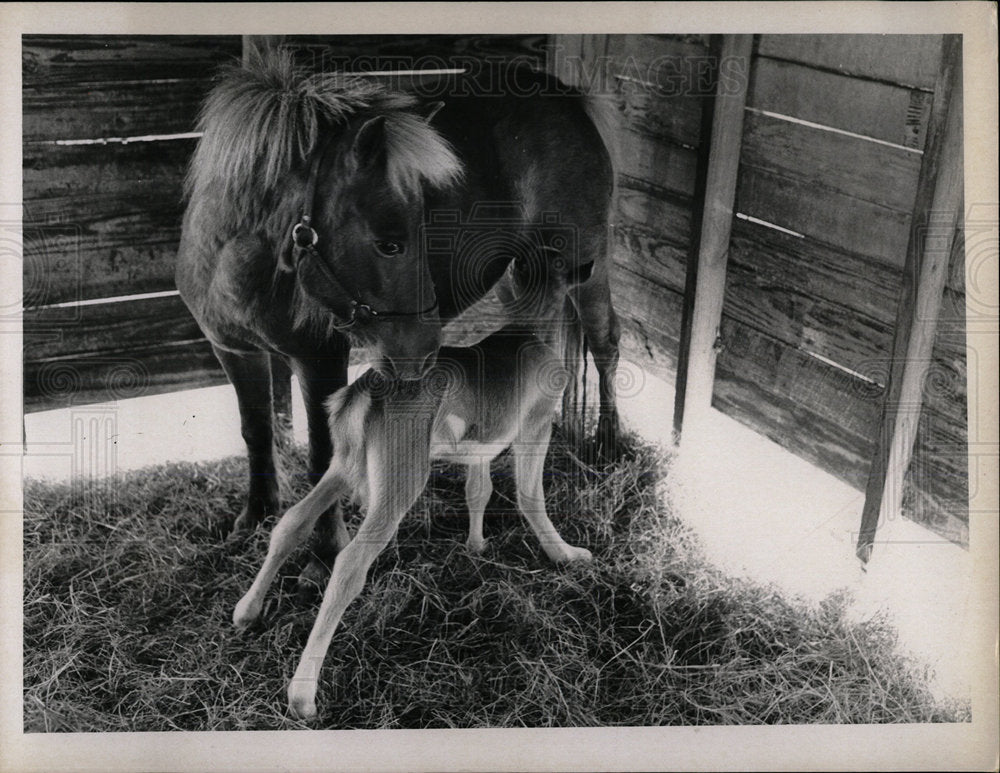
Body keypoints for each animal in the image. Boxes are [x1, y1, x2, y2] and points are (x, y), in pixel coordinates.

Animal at [234, 252, 592, 716]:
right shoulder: (537, 422)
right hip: (400, 477)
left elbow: (478, 491)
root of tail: (367, 387)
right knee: (350, 563)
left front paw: (476, 545)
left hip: (343, 464)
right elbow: (531, 496)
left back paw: (247, 610)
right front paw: (566, 554)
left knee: (291, 521)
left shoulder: (478, 447)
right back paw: (302, 694)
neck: (525, 327)